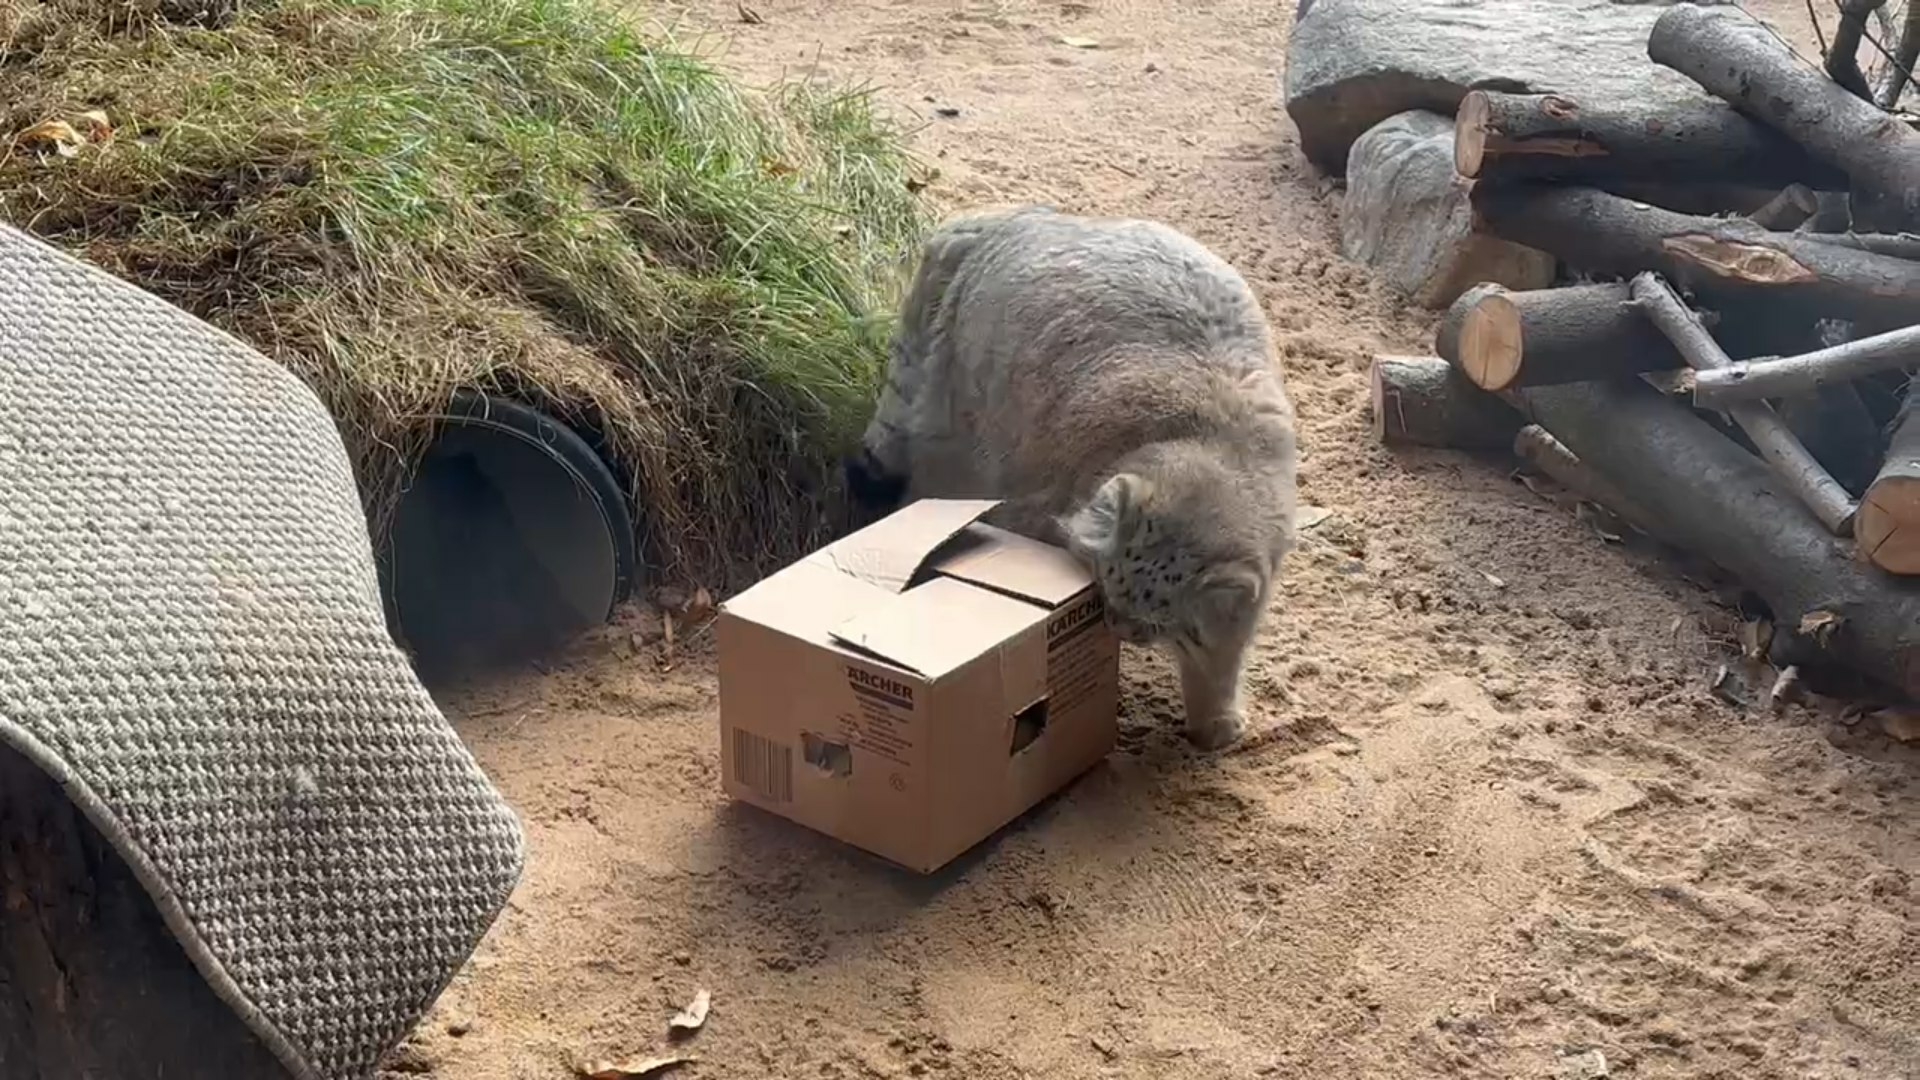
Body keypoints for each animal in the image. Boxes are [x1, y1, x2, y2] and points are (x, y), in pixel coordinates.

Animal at [848, 203, 1297, 749]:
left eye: (1161, 622)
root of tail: (1000, 221)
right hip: (953, 430)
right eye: (1106, 587)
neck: (1207, 438)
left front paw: (1216, 725)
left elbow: (1218, 662)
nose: (1119, 627)